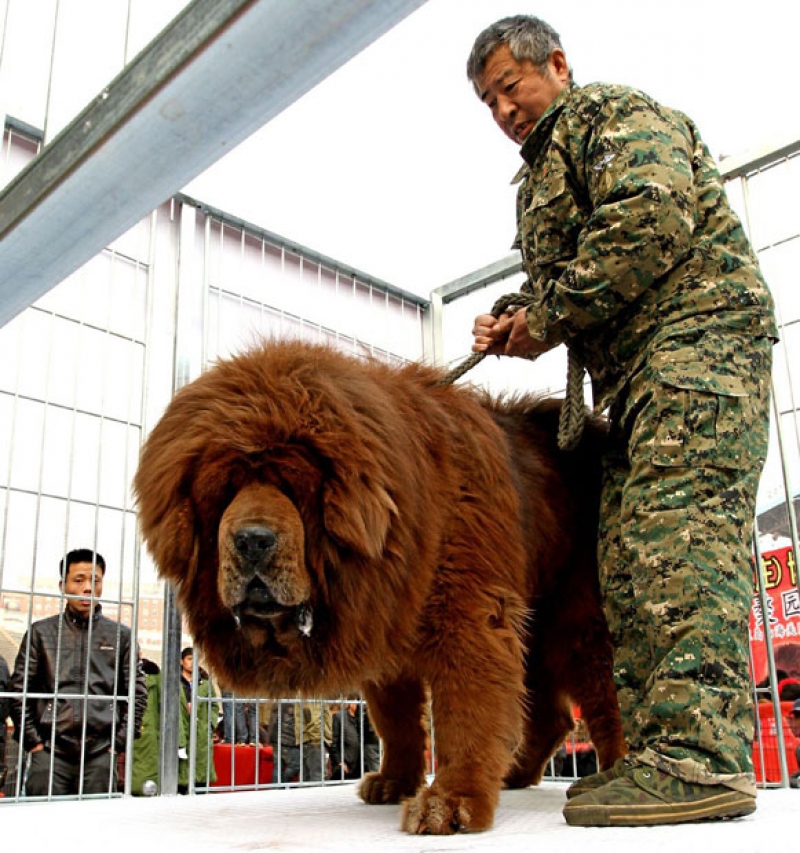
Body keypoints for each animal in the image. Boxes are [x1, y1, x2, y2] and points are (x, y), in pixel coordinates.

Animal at [133, 338, 624, 832]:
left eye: (291, 484)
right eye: (225, 489)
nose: (252, 540)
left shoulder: (467, 618)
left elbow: (465, 711)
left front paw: (451, 800)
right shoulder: (387, 626)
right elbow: (395, 721)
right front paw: (394, 781)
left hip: (580, 619)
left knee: (608, 695)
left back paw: (619, 775)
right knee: (552, 715)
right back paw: (516, 772)